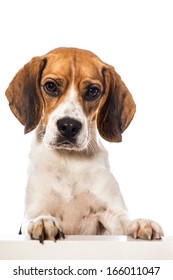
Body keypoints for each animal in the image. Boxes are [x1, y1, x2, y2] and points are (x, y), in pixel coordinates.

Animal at [5, 47, 164, 242]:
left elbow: (125, 219)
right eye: (51, 86)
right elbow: (36, 218)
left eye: (93, 91)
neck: (69, 160)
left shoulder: (110, 212)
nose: (68, 126)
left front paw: (141, 222)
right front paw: (43, 222)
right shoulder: (34, 209)